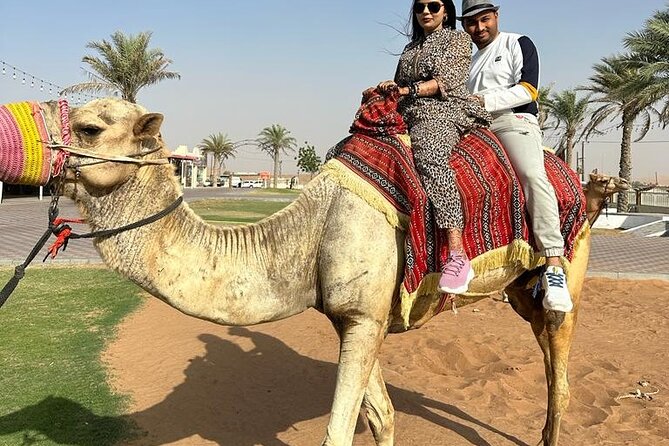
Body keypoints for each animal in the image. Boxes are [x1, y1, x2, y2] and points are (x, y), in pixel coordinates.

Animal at [6, 98, 592, 446]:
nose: (22, 149)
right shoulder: (355, 317)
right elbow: (382, 415)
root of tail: (573, 174)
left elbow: (339, 431)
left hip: (569, 253)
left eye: (89, 127)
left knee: (560, 368)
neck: (310, 229)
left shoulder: (364, 317)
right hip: (518, 289)